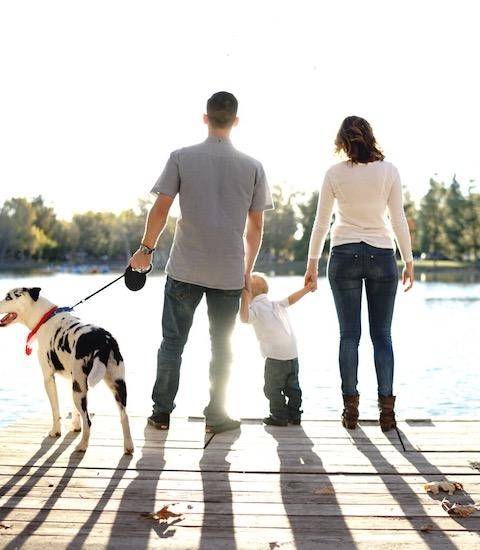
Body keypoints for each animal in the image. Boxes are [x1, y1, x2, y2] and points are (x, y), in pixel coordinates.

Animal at [0, 286, 133, 454]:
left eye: (9, 297)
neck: (44, 318)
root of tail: (105, 340)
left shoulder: (49, 378)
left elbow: (55, 409)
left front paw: (56, 431)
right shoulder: (72, 380)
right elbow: (74, 411)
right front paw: (75, 426)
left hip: (81, 390)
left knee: (88, 421)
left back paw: (82, 446)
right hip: (116, 385)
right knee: (124, 416)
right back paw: (128, 447)